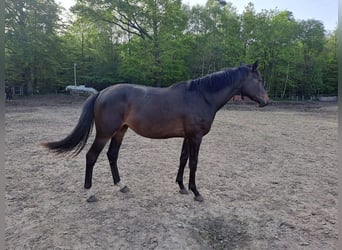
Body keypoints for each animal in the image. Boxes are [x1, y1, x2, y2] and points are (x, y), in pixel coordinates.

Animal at [41, 61, 268, 203]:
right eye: (258, 80)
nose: (266, 101)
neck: (202, 96)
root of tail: (102, 92)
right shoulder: (196, 137)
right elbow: (194, 163)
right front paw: (196, 192)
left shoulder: (187, 137)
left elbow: (183, 159)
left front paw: (181, 186)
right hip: (105, 133)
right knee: (91, 157)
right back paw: (90, 193)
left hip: (120, 131)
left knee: (112, 155)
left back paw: (121, 185)